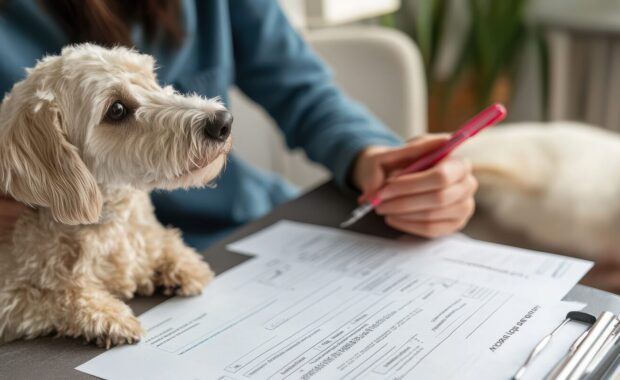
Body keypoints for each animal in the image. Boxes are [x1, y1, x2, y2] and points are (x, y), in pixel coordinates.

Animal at [0, 43, 232, 348]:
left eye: (152, 80)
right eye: (117, 109)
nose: (223, 121)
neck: (107, 223)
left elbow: (162, 242)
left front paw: (182, 263)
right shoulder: (8, 301)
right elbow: (55, 295)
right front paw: (107, 314)